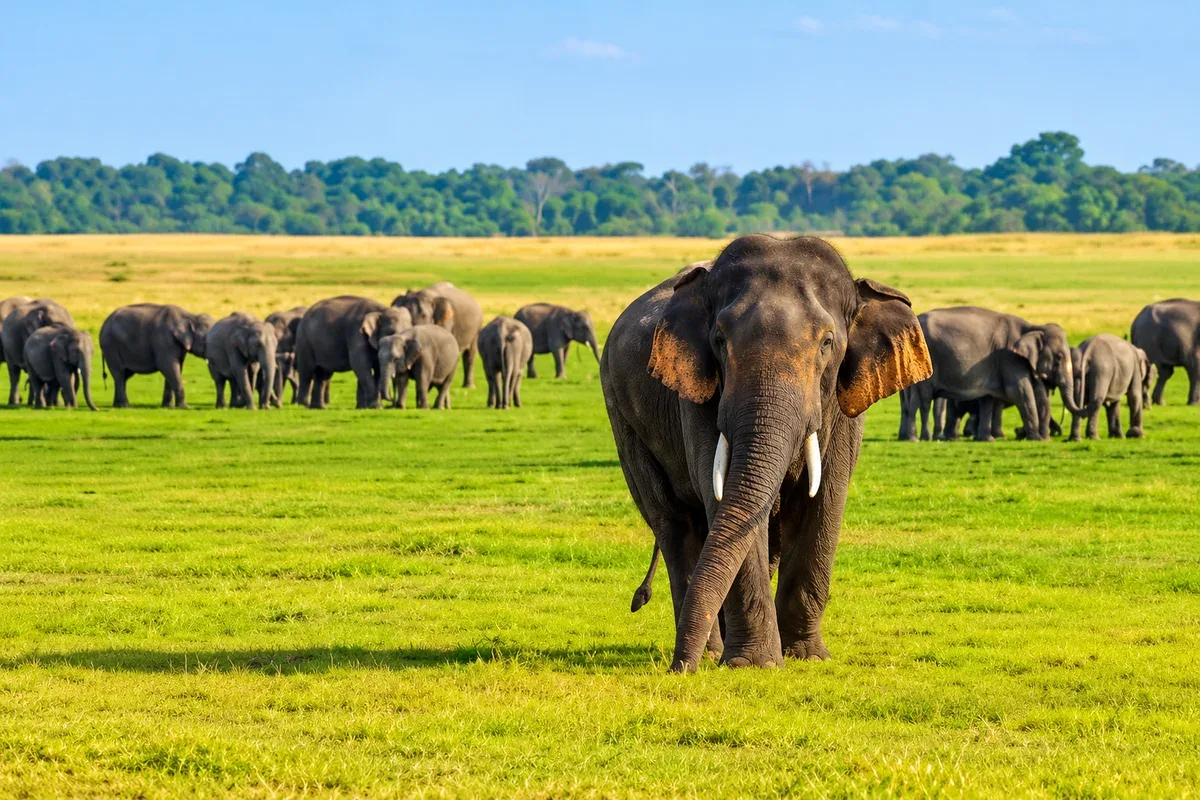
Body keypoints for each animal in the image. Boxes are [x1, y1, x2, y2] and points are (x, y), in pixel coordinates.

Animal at [601, 235, 931, 672]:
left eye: (827, 344)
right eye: (719, 341)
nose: (676, 670)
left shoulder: (843, 407)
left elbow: (824, 503)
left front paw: (807, 657)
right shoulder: (700, 397)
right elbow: (724, 499)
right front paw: (754, 664)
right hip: (622, 415)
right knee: (676, 525)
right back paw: (711, 653)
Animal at [896, 306, 1080, 442]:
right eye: (1058, 357)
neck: (1033, 327)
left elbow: (988, 400)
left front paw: (989, 439)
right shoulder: (1009, 357)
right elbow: (1019, 391)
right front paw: (1036, 439)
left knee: (914, 401)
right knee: (924, 401)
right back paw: (922, 439)